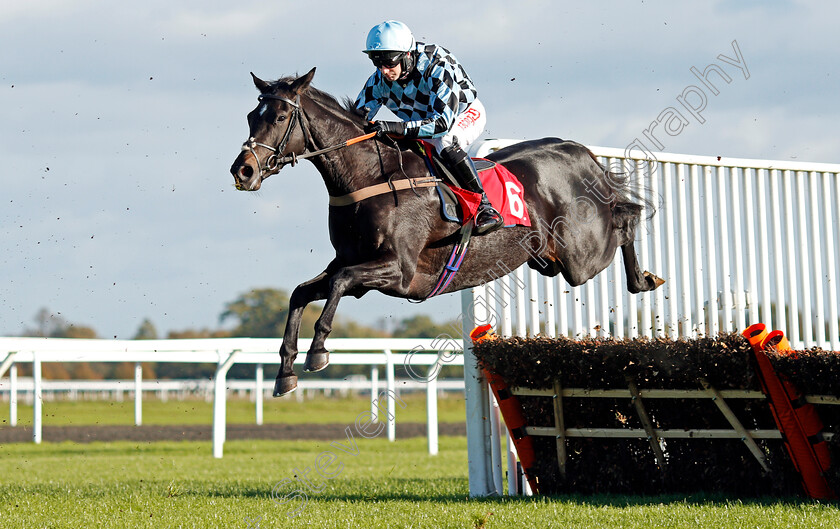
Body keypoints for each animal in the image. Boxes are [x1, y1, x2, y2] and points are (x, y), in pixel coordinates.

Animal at [230, 68, 664, 394]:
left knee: (627, 217)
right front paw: (285, 371)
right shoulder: (355, 266)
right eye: (252, 117)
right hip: (550, 260)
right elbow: (301, 293)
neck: (370, 178)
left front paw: (318, 351)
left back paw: (644, 278)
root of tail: (577, 149)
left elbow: (337, 284)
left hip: (581, 255)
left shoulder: (399, 272)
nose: (243, 170)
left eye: (280, 118)